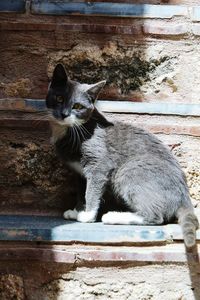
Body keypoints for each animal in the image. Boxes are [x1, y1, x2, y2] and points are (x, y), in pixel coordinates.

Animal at [45, 63, 198, 248]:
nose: (64, 114)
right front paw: (77, 211)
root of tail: (184, 196)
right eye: (59, 98)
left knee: (155, 216)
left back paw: (113, 216)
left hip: (129, 170)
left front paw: (88, 215)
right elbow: (81, 192)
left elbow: (92, 190)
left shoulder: (99, 165)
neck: (69, 131)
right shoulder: (78, 173)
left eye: (78, 107)